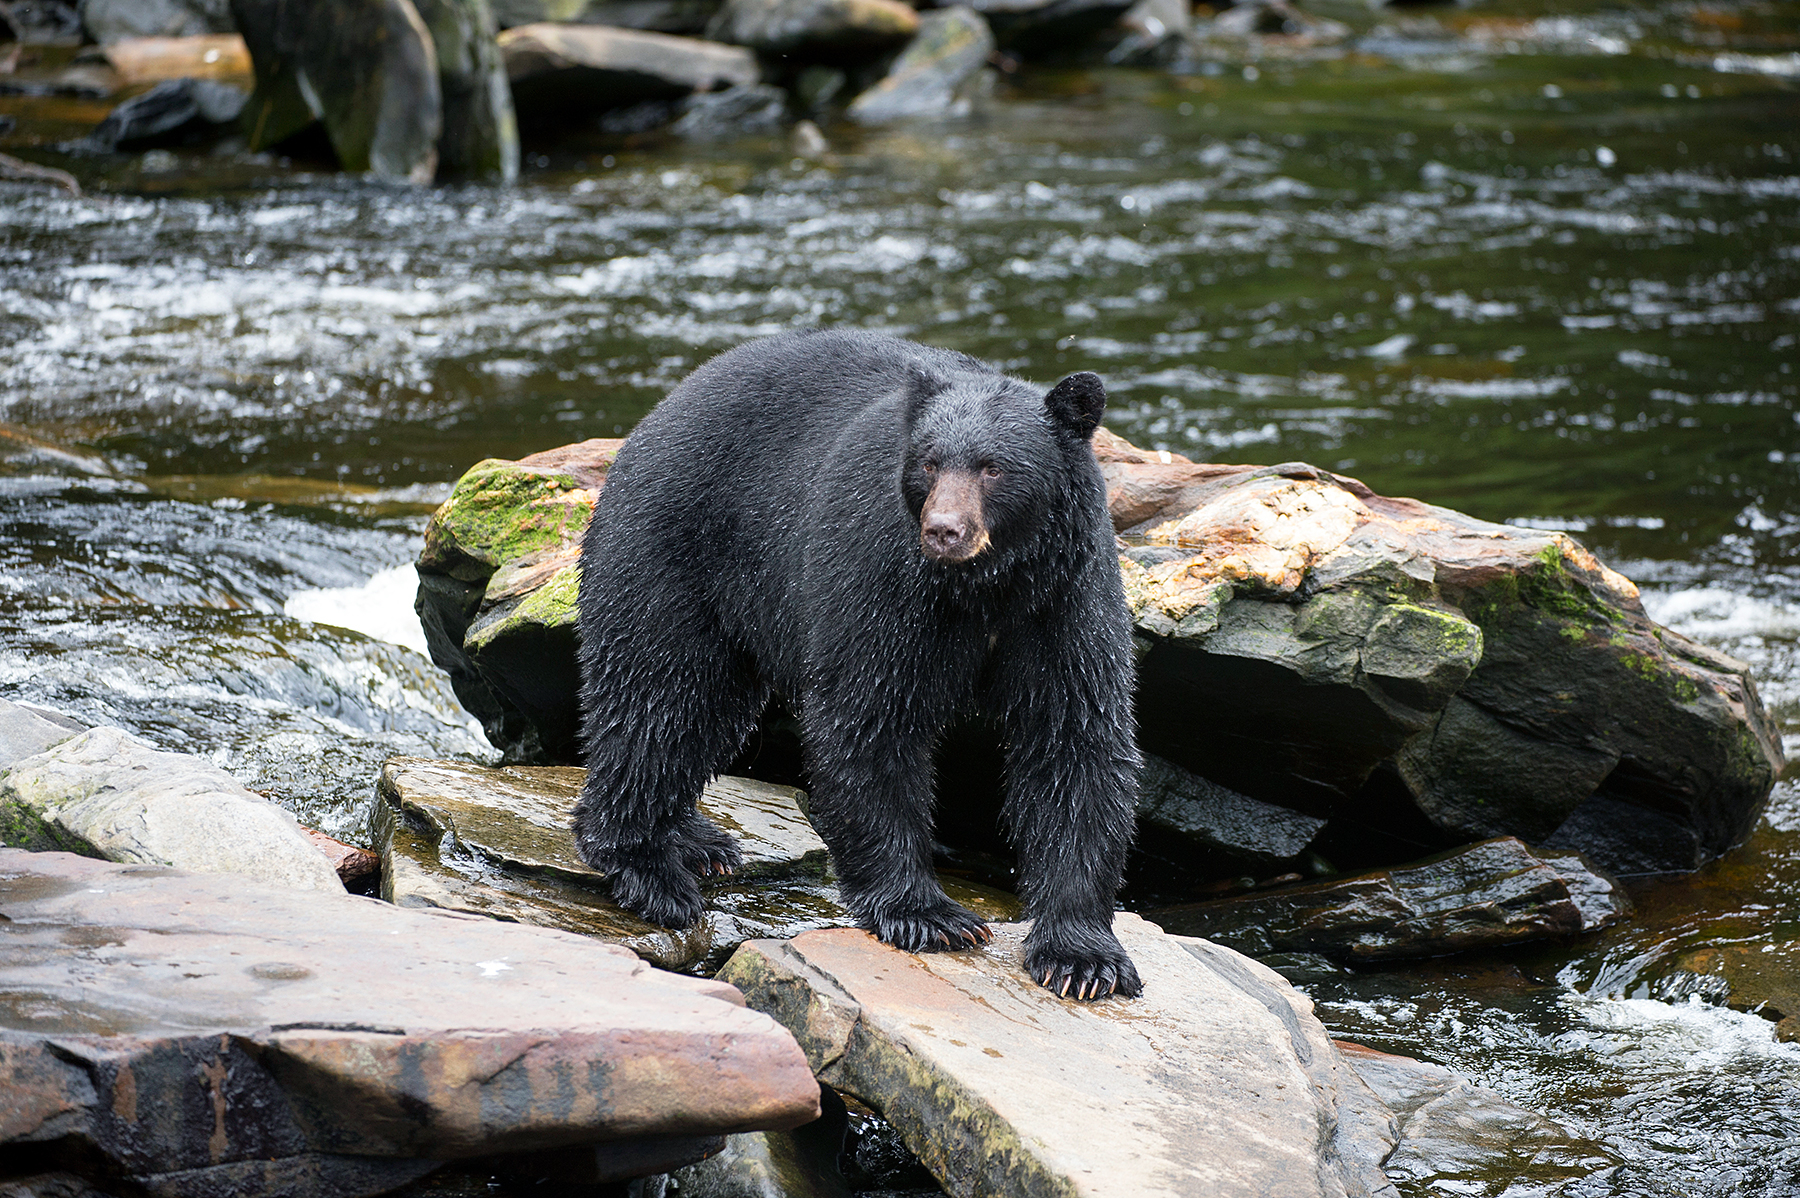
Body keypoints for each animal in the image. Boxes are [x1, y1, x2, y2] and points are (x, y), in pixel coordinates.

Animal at [572, 328, 1142, 1000]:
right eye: (929, 462)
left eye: (994, 466)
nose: (944, 530)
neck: (986, 588)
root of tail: (657, 414)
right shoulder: (884, 579)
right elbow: (869, 719)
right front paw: (928, 915)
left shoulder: (1064, 600)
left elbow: (1075, 739)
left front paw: (1083, 957)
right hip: (677, 551)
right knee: (663, 696)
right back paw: (649, 872)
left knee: (707, 714)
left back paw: (699, 840)